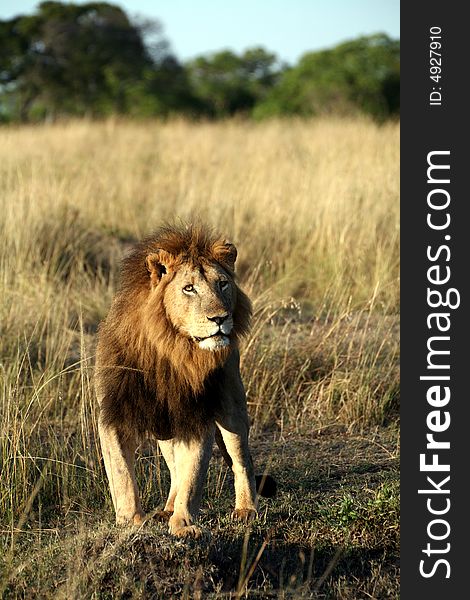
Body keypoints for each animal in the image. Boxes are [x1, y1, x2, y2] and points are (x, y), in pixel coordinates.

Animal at [95, 223, 276, 536]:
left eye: (222, 284)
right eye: (189, 288)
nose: (220, 318)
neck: (169, 351)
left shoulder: (197, 415)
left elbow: (193, 476)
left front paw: (183, 525)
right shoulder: (114, 412)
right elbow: (121, 474)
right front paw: (131, 522)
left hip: (231, 408)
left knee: (242, 460)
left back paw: (245, 509)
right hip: (166, 425)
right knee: (174, 466)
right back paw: (166, 509)